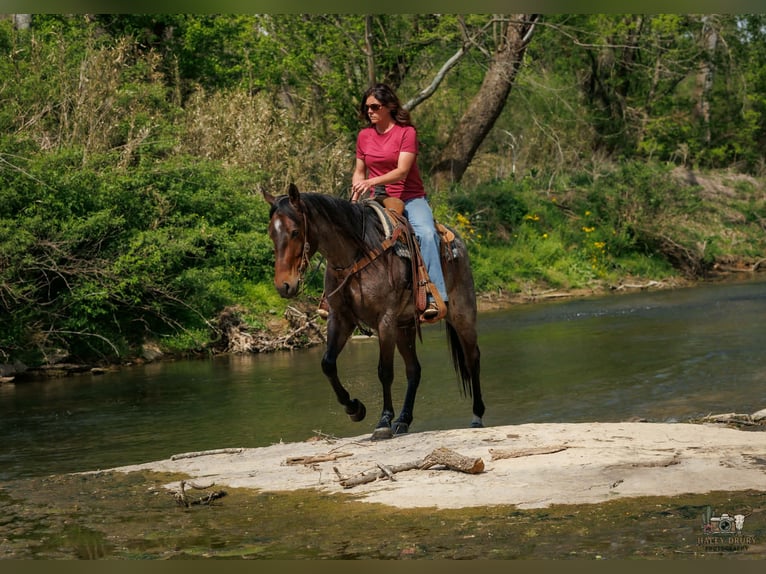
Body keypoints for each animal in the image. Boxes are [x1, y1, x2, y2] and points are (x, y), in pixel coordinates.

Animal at [263, 183, 485, 439]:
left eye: (295, 231)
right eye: (271, 233)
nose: (283, 285)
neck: (355, 254)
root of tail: (458, 241)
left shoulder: (385, 320)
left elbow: (384, 371)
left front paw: (383, 421)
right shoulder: (341, 318)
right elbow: (328, 363)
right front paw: (354, 408)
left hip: (462, 314)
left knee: (472, 358)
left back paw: (477, 416)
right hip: (404, 327)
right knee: (414, 370)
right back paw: (403, 420)